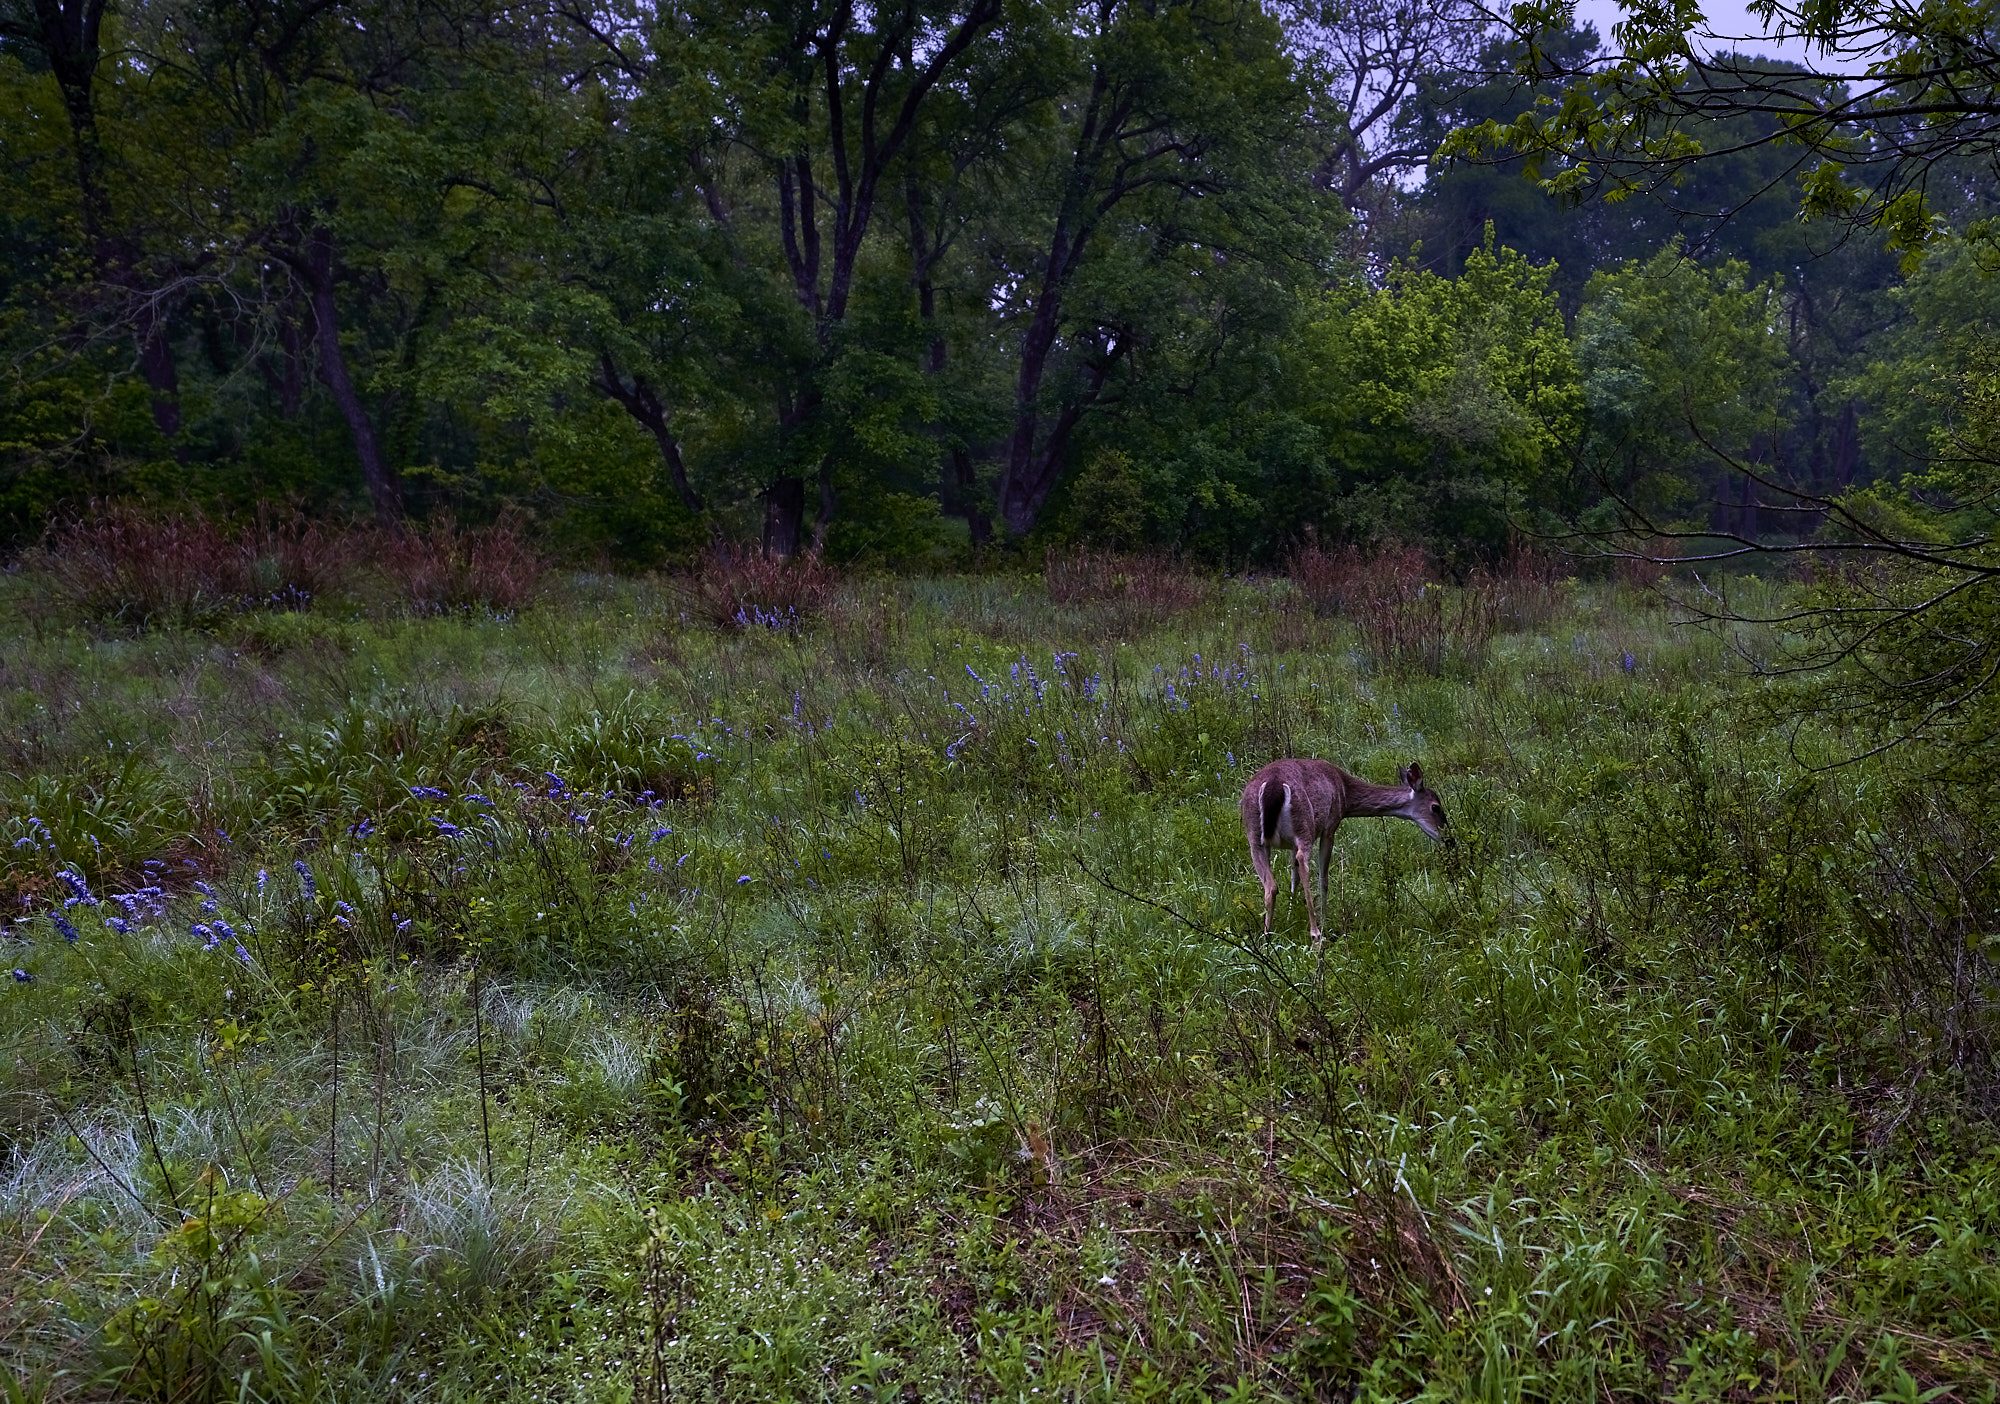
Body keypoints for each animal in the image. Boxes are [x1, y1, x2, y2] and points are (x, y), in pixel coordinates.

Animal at [1232, 760, 1456, 944]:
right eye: (1436, 807)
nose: (1450, 841)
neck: (1345, 793)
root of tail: (1273, 785)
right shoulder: (1330, 825)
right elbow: (1322, 879)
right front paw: (1324, 920)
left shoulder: (1289, 844)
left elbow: (1293, 878)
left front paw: (1289, 914)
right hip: (1305, 824)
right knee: (1303, 863)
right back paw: (1315, 934)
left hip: (1255, 836)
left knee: (1271, 885)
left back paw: (1266, 936)